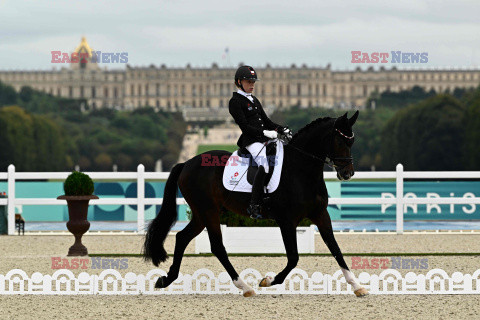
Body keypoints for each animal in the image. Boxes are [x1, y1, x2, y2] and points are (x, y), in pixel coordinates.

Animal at [142, 112, 368, 298]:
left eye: (352, 141)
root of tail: (186, 163)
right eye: (339, 140)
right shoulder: (287, 220)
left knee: (182, 238)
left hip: (201, 213)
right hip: (209, 211)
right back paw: (245, 286)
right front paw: (269, 280)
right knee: (217, 247)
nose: (348, 173)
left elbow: (336, 249)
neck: (301, 170)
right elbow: (293, 257)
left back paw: (166, 279)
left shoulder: (320, 215)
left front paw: (357, 286)